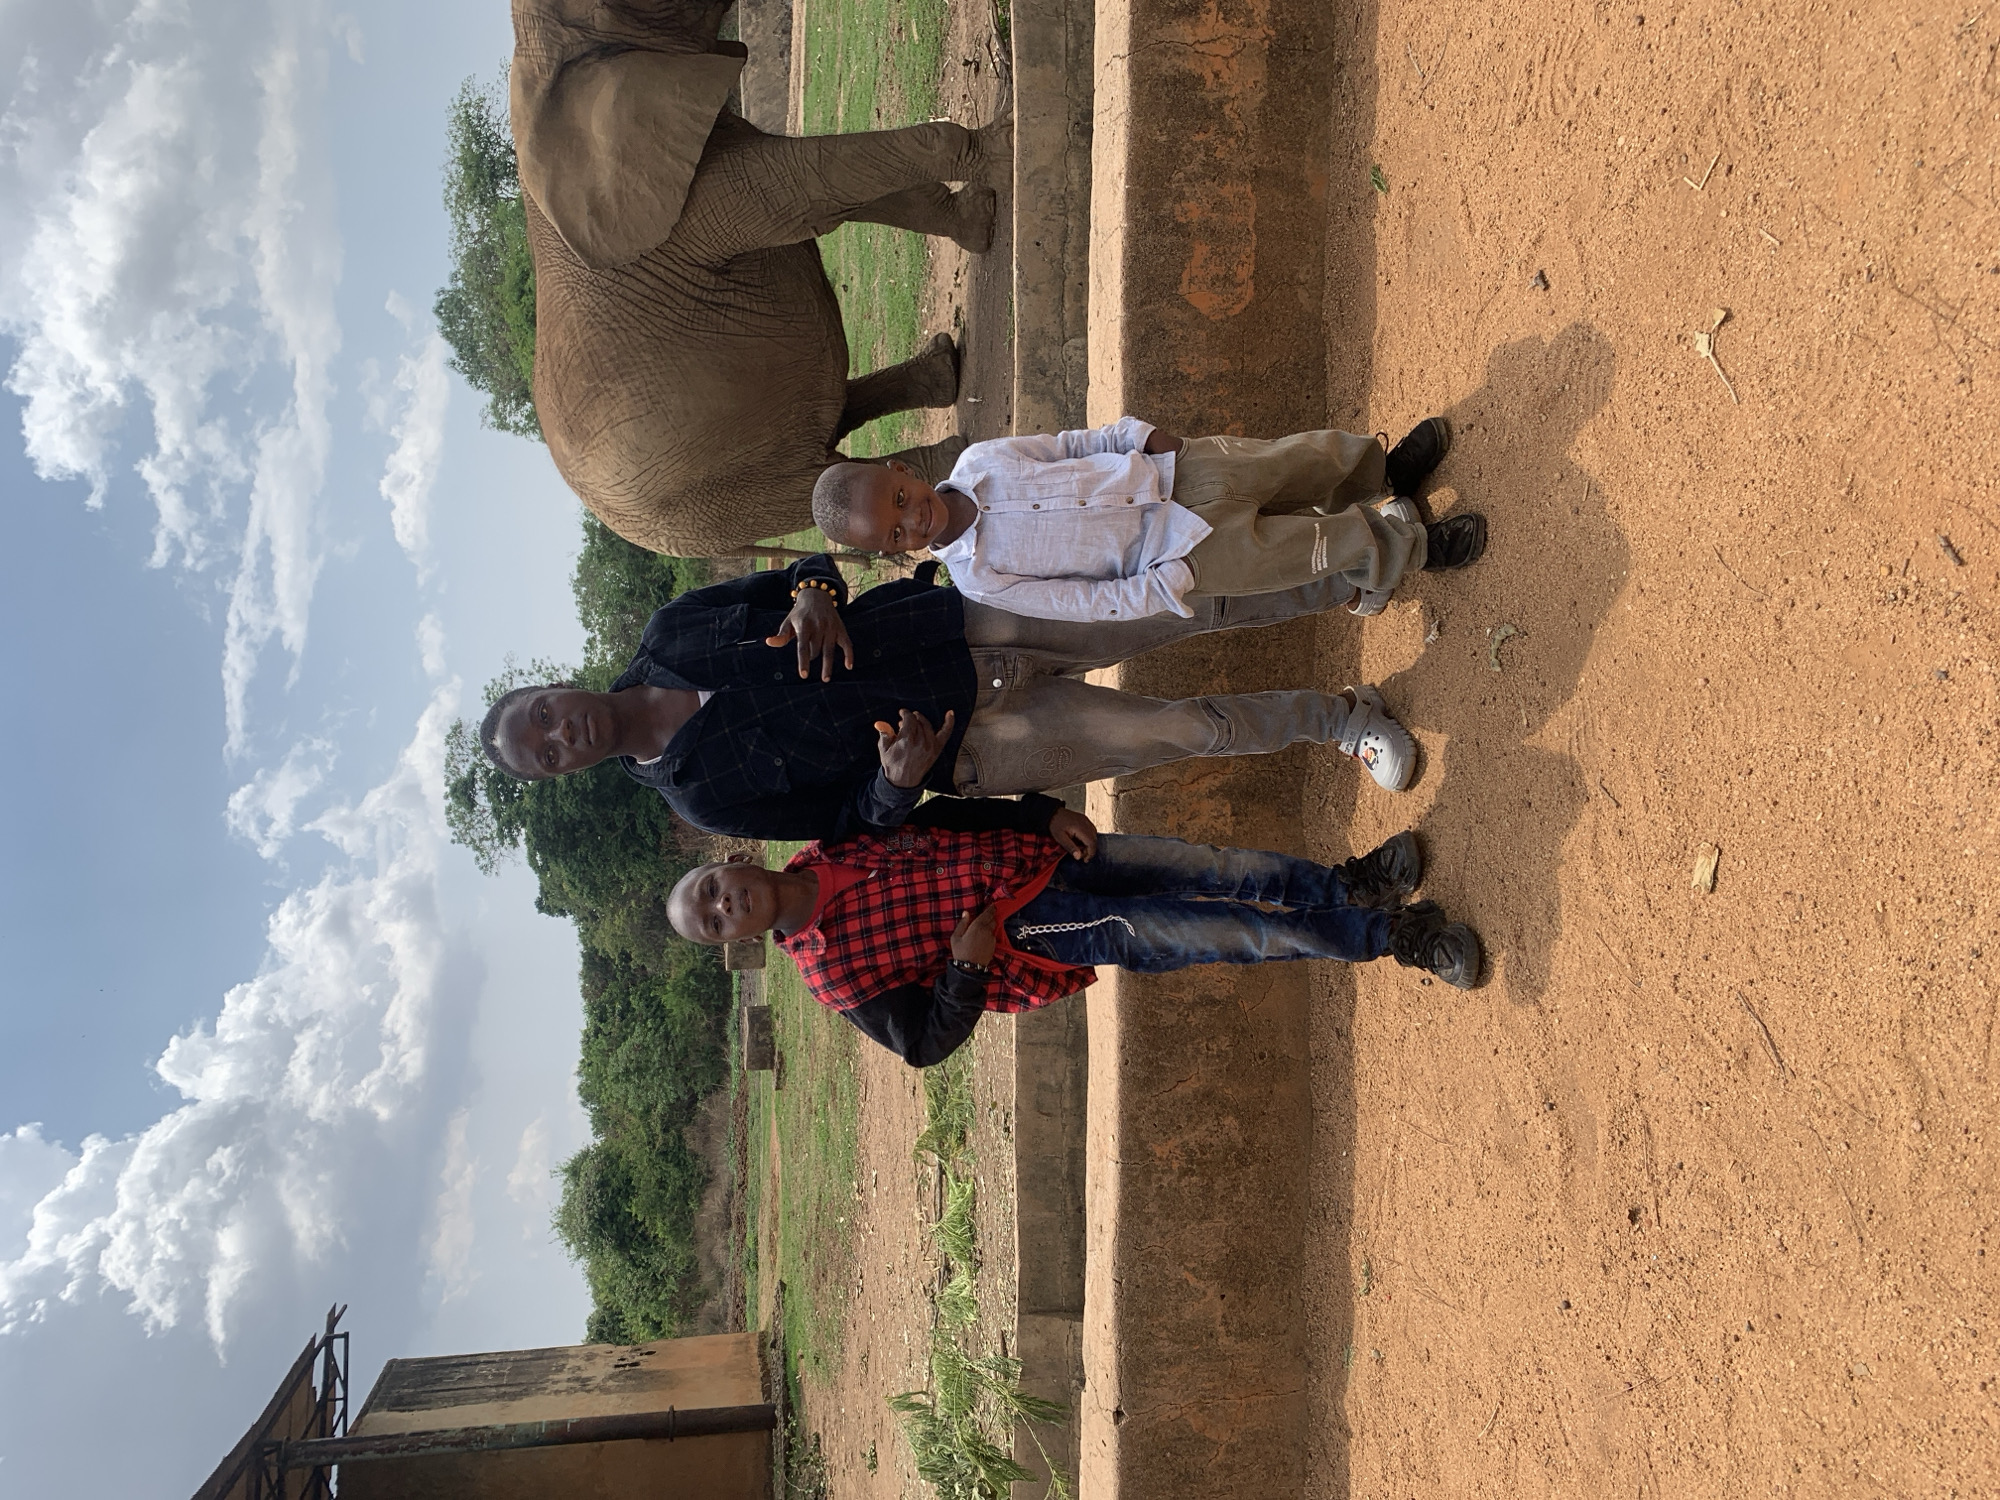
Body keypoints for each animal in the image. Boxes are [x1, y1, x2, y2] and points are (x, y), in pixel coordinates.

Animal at [510, 0, 1006, 557]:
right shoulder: (687, 209)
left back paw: (943, 369)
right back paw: (957, 456)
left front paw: (980, 221)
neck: (534, 56)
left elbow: (841, 194)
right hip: (710, 504)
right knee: (821, 481)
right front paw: (1008, 143)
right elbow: (812, 184)